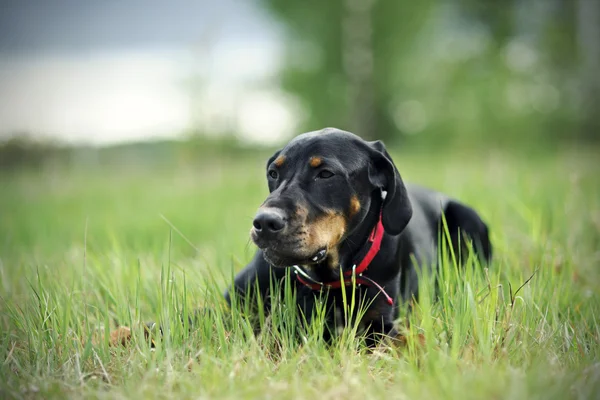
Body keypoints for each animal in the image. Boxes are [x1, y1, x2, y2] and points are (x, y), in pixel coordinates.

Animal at [223, 127, 490, 344]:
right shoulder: (233, 302)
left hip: (468, 219)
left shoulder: (380, 326)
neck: (325, 277)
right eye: (273, 173)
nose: (264, 222)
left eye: (326, 174)